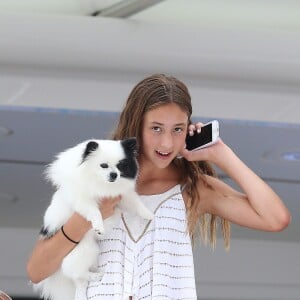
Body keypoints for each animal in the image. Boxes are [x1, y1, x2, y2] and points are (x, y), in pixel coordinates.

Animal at [34, 138, 154, 300]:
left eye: (120, 166)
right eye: (103, 165)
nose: (114, 174)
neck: (101, 184)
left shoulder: (123, 197)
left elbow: (136, 203)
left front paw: (148, 214)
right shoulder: (83, 200)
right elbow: (94, 211)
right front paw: (99, 227)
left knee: (79, 280)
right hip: (86, 249)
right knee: (75, 272)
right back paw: (96, 276)